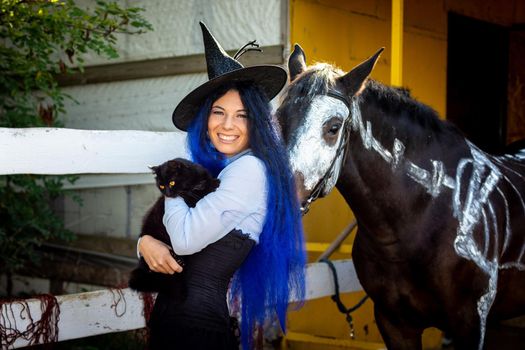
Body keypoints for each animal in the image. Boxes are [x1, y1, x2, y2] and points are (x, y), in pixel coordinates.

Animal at [129, 159, 219, 296]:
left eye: (172, 182)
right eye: (161, 186)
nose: (167, 193)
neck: (193, 182)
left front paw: (213, 182)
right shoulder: (190, 201)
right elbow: (198, 194)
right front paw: (212, 185)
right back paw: (177, 259)